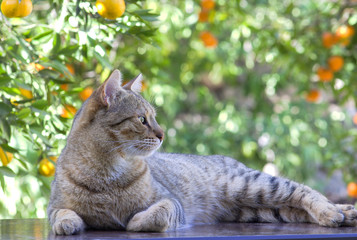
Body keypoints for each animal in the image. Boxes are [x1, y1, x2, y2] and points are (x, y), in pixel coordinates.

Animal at [48, 69, 356, 234]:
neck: (108, 171)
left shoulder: (173, 202)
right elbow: (62, 214)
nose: (162, 134)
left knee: (304, 190)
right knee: (295, 210)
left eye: (154, 117)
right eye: (142, 119)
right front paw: (69, 223)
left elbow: (157, 213)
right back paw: (345, 212)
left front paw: (135, 221)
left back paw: (332, 213)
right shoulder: (53, 206)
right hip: (258, 209)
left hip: (253, 185)